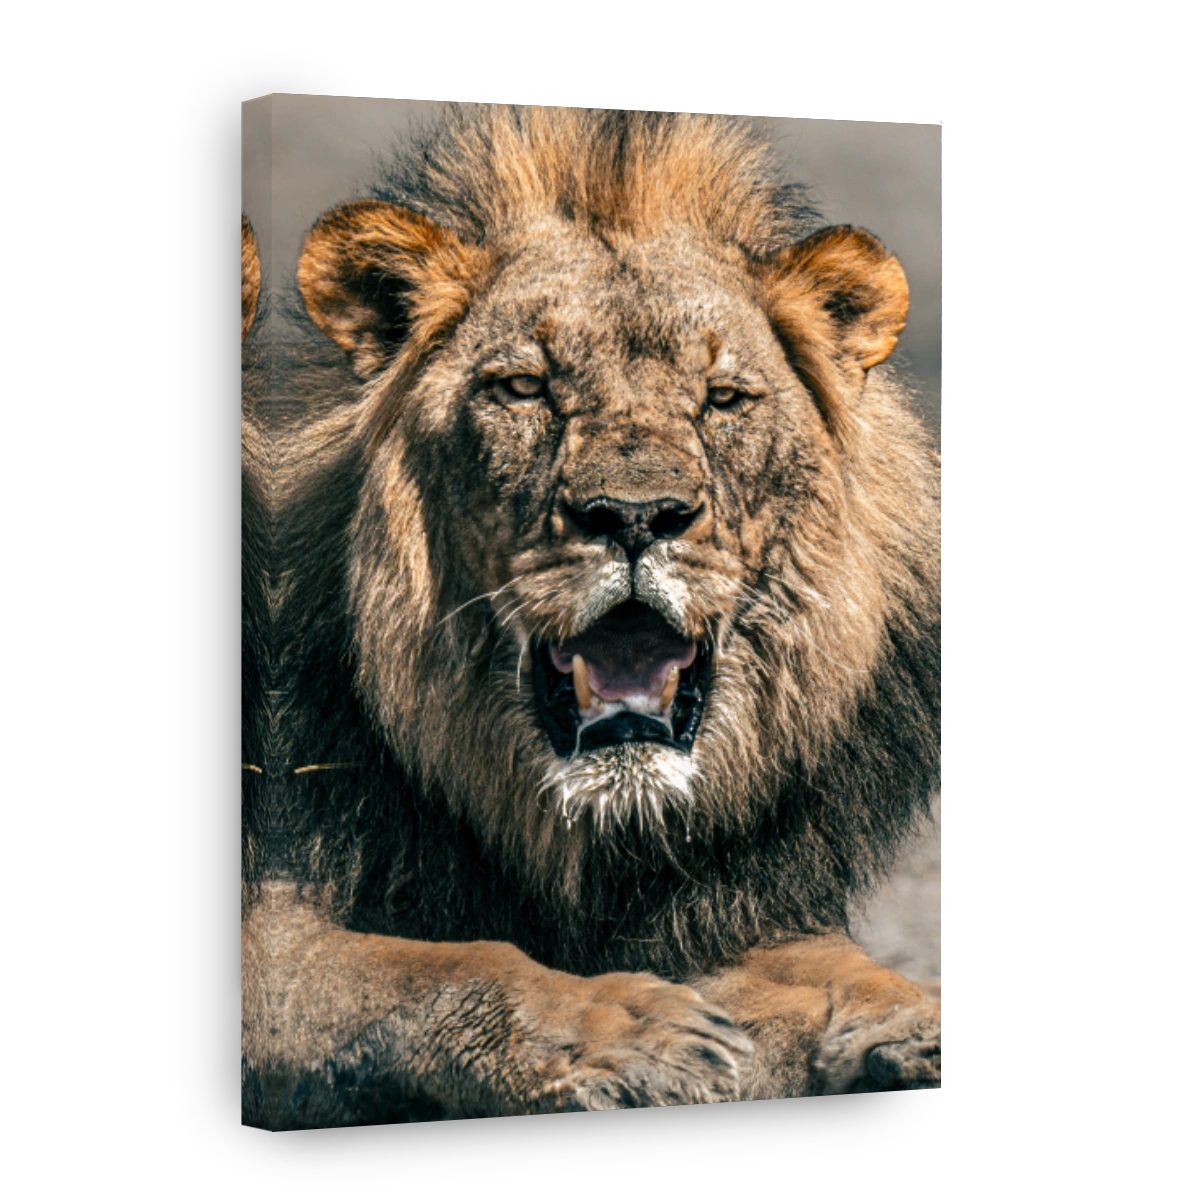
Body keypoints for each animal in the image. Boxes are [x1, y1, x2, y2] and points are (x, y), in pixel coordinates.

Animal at [261, 107, 941, 1126]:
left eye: (723, 399)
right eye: (523, 388)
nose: (634, 515)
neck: (584, 848)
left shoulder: (719, 914)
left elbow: (839, 972)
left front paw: (917, 1024)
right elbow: (437, 966)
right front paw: (620, 1029)